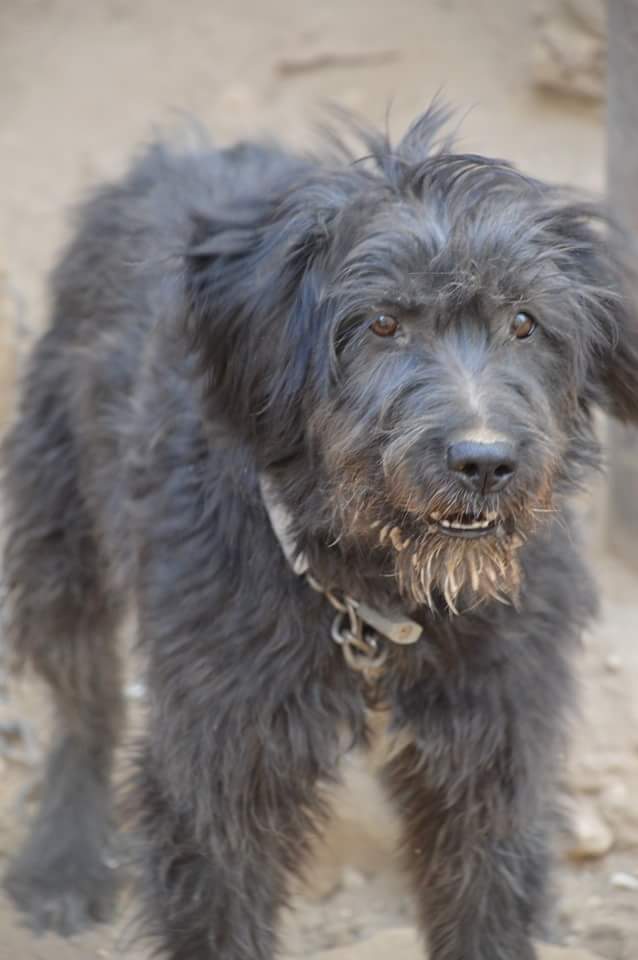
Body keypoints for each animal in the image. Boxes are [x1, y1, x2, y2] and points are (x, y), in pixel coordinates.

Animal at [3, 105, 638, 960]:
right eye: (382, 323)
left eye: (525, 322)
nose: (484, 462)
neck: (378, 593)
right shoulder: (221, 762)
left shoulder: (496, 751)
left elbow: (485, 900)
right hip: (58, 520)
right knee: (84, 702)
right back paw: (63, 860)